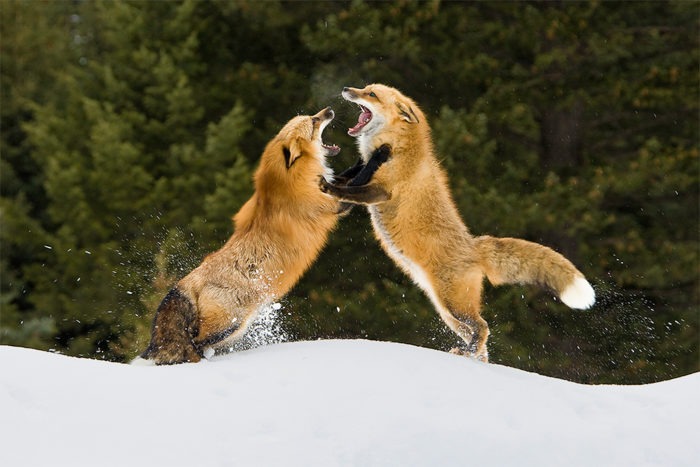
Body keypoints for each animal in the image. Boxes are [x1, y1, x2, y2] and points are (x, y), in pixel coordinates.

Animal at [135, 107, 350, 366]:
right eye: (314, 121)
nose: (329, 110)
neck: (289, 183)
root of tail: (188, 281)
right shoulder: (331, 205)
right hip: (229, 324)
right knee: (195, 343)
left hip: (232, 327)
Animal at [320, 85, 592, 362]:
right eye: (366, 89)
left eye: (372, 95)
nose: (346, 89)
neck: (399, 145)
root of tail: (474, 246)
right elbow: (347, 179)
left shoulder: (380, 191)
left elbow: (349, 191)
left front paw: (331, 186)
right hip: (447, 312)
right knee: (479, 337)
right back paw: (473, 357)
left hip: (454, 306)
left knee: (483, 327)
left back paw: (468, 353)